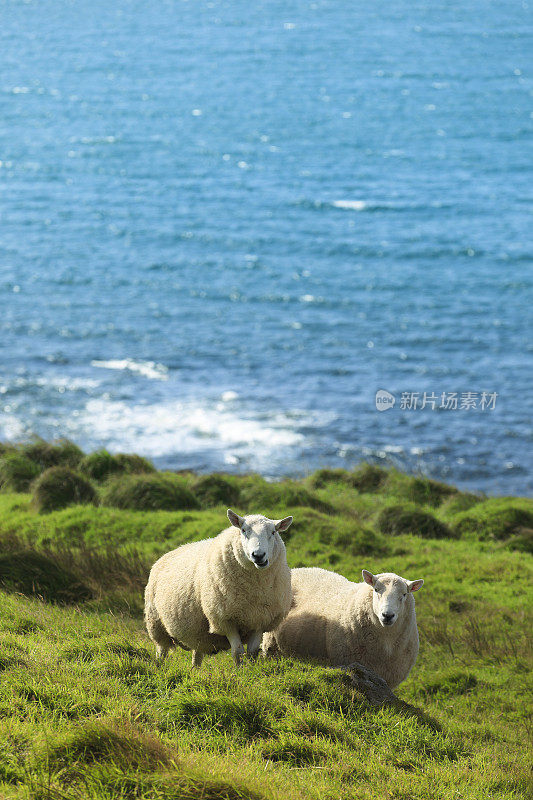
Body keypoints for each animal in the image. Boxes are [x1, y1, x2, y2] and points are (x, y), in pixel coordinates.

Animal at [143, 506, 294, 668]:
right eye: (243, 530)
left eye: (273, 532)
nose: (258, 555)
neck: (255, 588)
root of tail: (165, 555)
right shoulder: (225, 619)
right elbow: (238, 652)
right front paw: (240, 670)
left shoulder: (261, 620)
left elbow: (252, 653)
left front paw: (250, 669)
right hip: (155, 622)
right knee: (161, 650)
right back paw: (159, 667)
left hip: (198, 633)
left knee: (197, 653)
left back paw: (195, 670)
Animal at [262, 564, 424, 692]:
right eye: (376, 589)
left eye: (404, 594)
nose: (387, 615)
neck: (386, 640)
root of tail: (296, 569)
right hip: (271, 642)